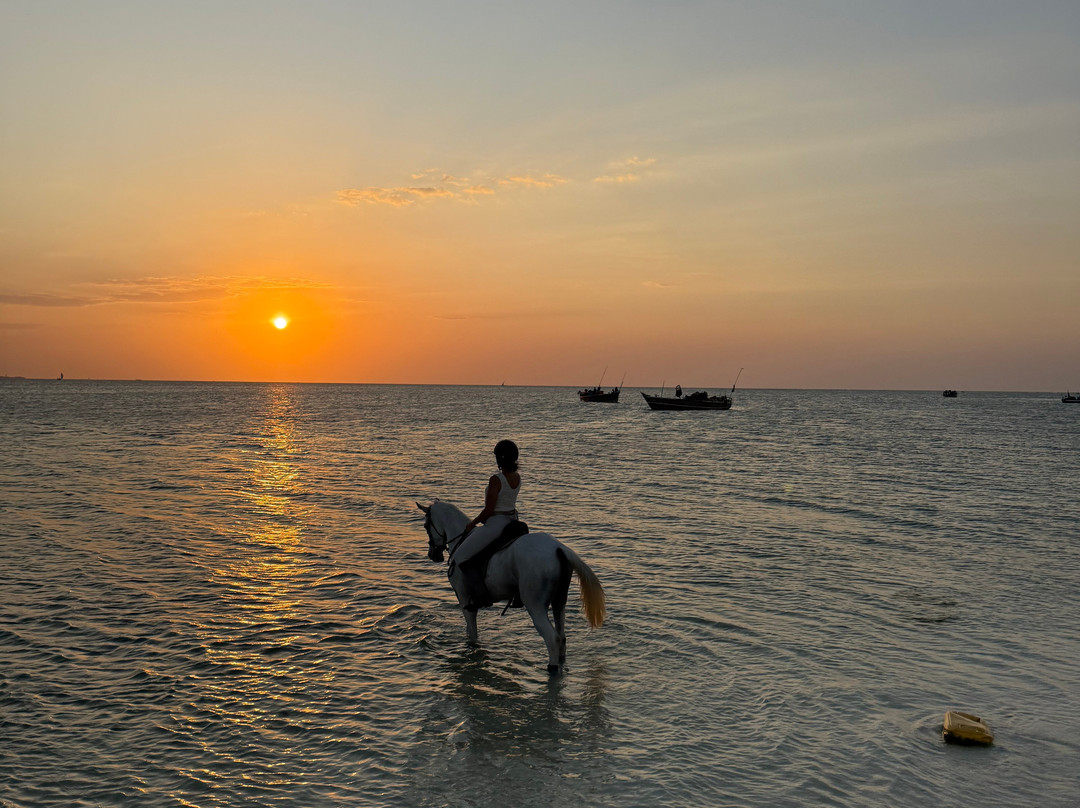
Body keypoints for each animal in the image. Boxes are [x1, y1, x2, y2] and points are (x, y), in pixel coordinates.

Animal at [417, 500, 605, 672]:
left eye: (425, 526)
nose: (433, 555)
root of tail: (558, 548)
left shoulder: (465, 600)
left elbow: (472, 634)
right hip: (559, 601)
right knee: (562, 636)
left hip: (535, 605)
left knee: (552, 638)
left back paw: (551, 669)